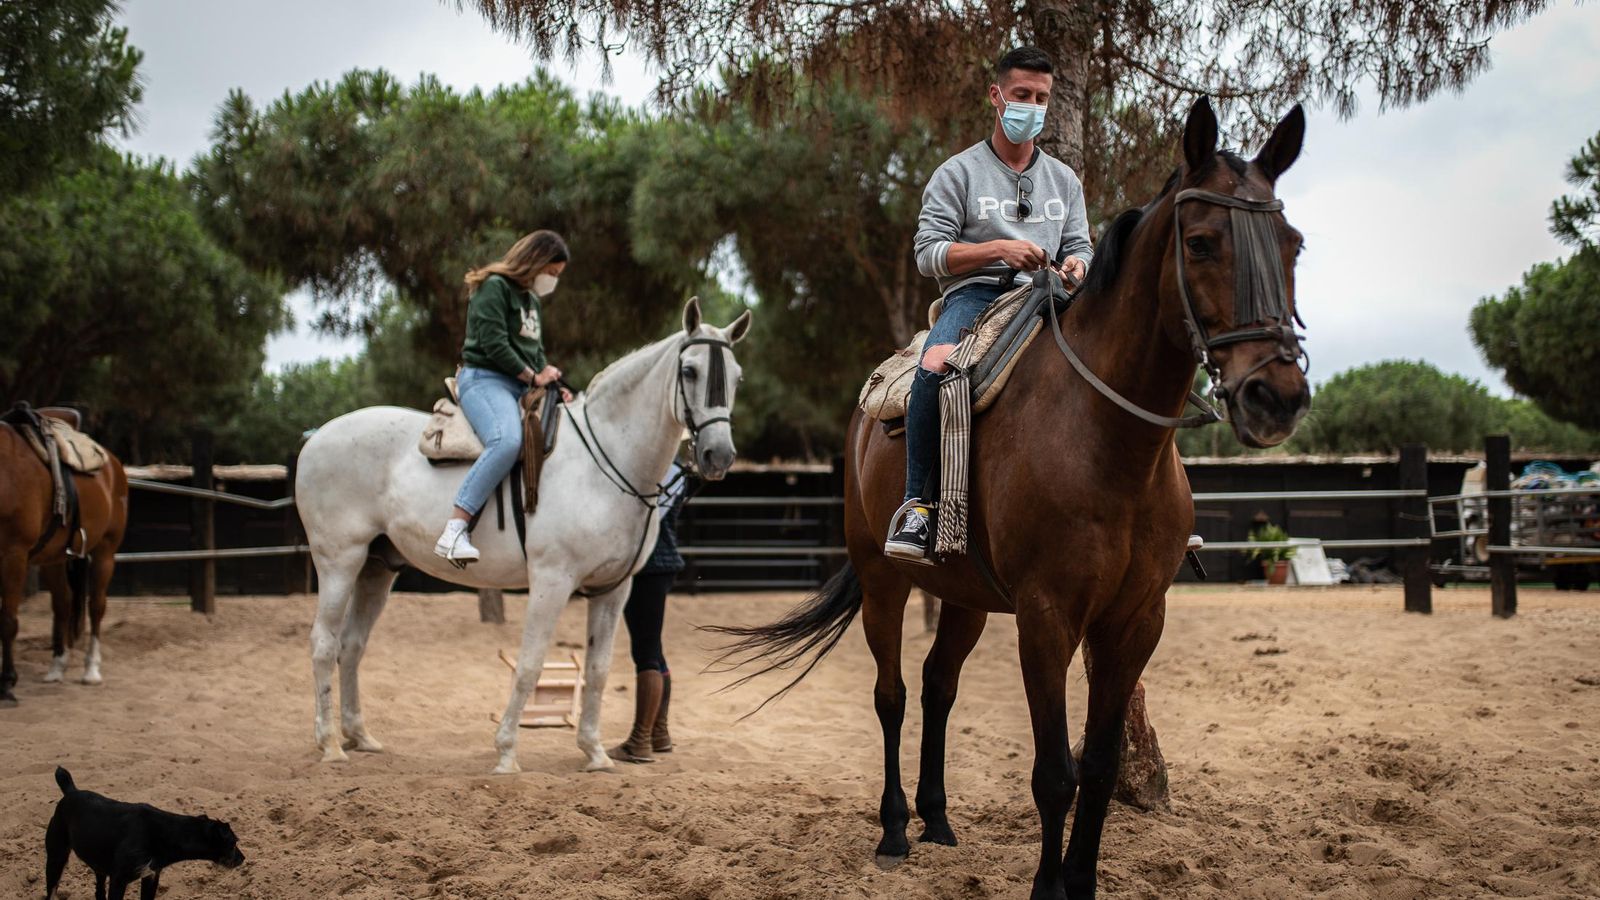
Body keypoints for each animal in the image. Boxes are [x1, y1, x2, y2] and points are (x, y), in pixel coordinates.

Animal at [0, 408, 129, 706]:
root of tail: (112, 463)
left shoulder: (13, 556)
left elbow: (8, 621)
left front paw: (7, 684)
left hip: (105, 553)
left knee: (96, 607)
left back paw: (91, 670)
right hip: (54, 559)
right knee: (63, 603)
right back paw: (57, 667)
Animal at [295, 299, 751, 773]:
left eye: (737, 377)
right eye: (690, 371)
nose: (718, 455)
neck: (602, 463)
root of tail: (317, 437)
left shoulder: (613, 590)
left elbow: (599, 669)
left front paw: (595, 753)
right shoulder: (552, 581)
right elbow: (530, 664)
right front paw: (507, 753)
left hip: (377, 569)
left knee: (352, 645)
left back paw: (360, 737)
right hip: (340, 562)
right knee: (324, 643)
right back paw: (330, 744)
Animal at [712, 97, 1311, 899]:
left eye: (1293, 245)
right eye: (1203, 241)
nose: (1276, 396)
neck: (1110, 443)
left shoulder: (1135, 621)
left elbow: (1099, 768)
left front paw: (1080, 882)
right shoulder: (1046, 616)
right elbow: (1054, 775)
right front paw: (1046, 888)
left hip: (963, 595)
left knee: (937, 685)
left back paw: (936, 821)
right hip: (883, 580)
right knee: (892, 695)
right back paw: (895, 830)